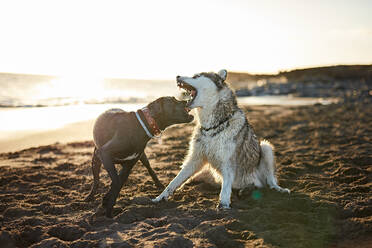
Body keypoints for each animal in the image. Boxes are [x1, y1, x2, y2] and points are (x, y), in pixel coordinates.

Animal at [152, 70, 290, 209]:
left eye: (197, 76)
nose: (177, 76)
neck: (211, 127)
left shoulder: (228, 161)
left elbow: (225, 189)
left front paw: (223, 204)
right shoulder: (195, 159)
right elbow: (175, 180)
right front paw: (161, 196)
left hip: (266, 148)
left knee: (269, 181)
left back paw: (276, 189)